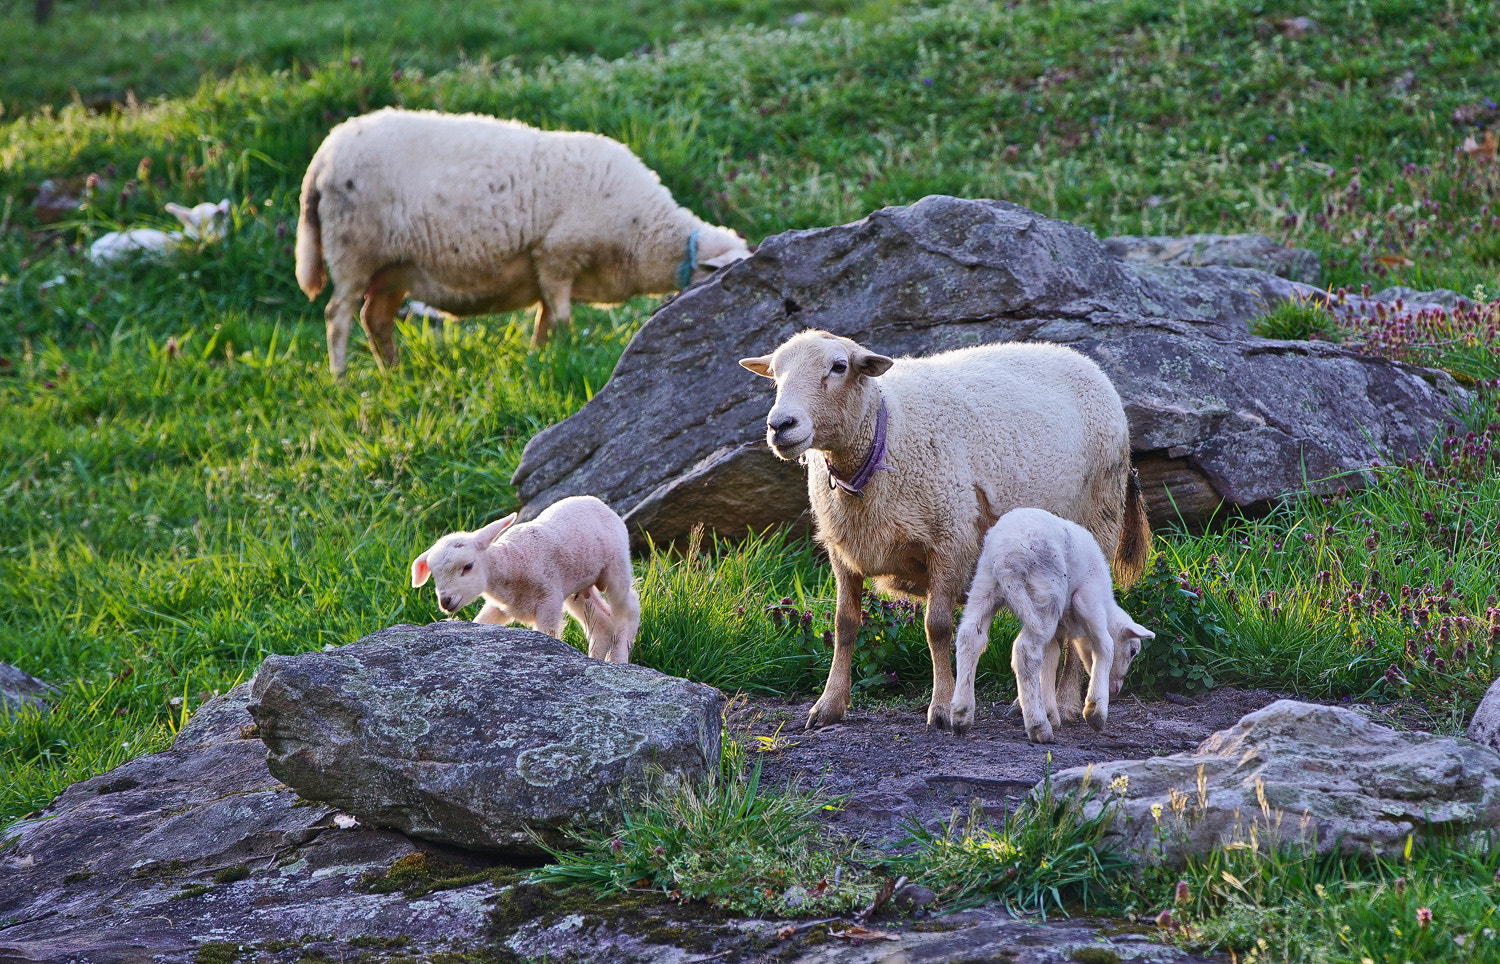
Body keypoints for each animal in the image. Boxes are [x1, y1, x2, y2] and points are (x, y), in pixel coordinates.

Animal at [295, 107, 750, 374]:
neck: (645, 233)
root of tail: (324, 154)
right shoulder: (557, 253)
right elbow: (562, 317)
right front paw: (561, 354)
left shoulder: (548, 267)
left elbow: (545, 318)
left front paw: (539, 354)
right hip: (353, 248)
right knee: (337, 315)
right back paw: (340, 378)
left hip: (395, 267)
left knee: (375, 318)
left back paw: (393, 371)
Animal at [411, 497, 639, 662]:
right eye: (434, 575)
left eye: (468, 566)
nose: (445, 602)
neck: (511, 562)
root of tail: (599, 503)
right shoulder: (502, 606)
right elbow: (482, 622)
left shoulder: (548, 600)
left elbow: (549, 635)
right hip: (579, 585)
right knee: (602, 622)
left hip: (616, 565)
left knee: (628, 608)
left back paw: (618, 657)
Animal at [954, 509, 1152, 743]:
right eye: (1132, 652)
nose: (1116, 689)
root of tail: (1005, 559)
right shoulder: (1088, 599)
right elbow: (1105, 645)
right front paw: (1095, 711)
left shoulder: (1059, 627)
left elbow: (1050, 658)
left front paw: (1051, 712)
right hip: (1046, 590)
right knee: (1026, 652)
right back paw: (1038, 726)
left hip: (984, 584)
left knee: (970, 637)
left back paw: (961, 715)